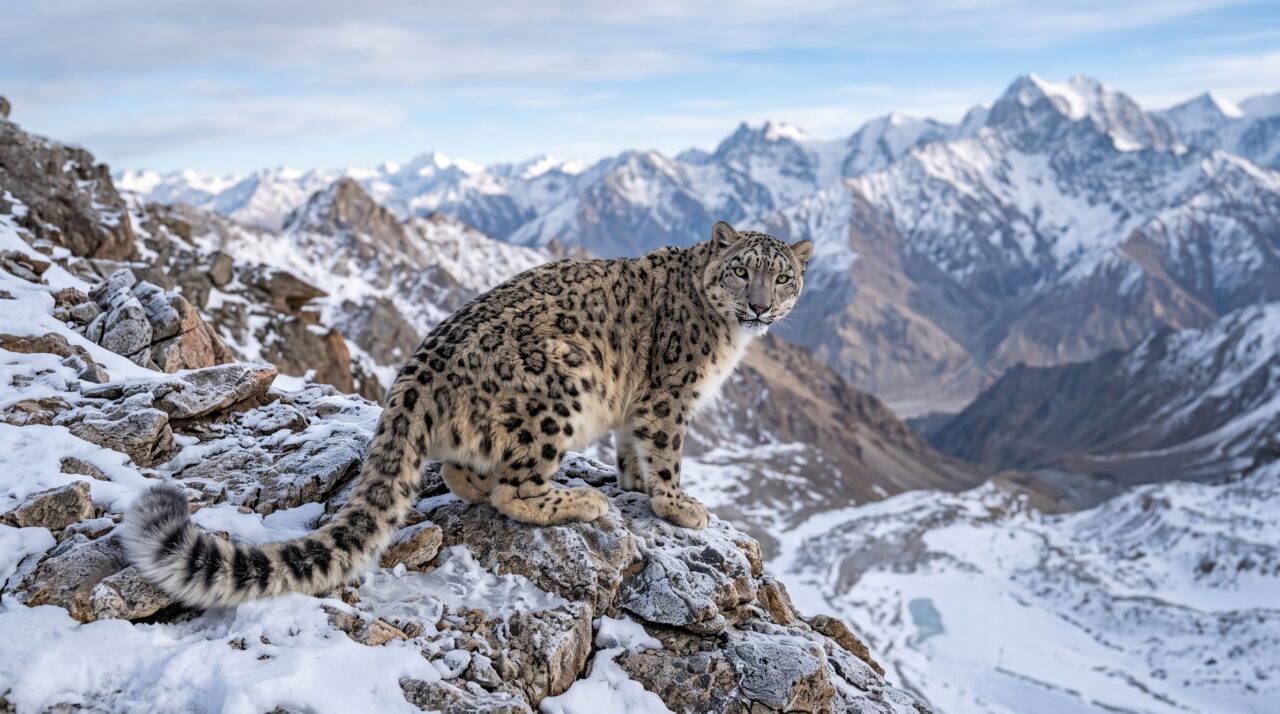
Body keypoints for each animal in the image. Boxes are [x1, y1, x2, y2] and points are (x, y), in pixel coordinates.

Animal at [122, 221, 813, 607]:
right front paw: (678, 503)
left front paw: (638, 486)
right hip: (562, 385)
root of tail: (414, 376)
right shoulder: (669, 394)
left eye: (782, 278)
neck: (727, 339)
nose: (760, 305)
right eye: (742, 270)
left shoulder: (635, 408)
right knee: (516, 487)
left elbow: (630, 452)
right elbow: (665, 450)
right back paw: (580, 501)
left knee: (465, 471)